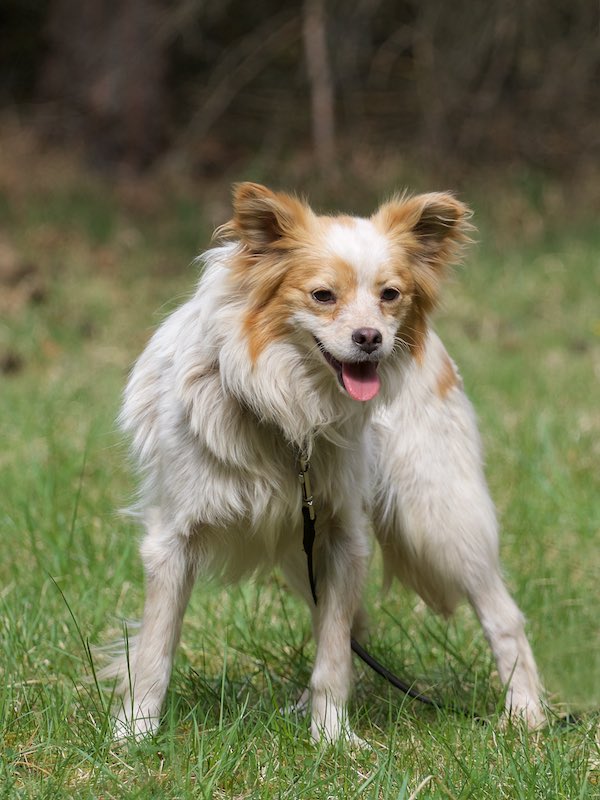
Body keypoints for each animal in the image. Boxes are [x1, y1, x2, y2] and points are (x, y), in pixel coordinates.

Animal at [105, 182, 543, 742]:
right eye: (322, 296)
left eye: (390, 295)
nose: (371, 339)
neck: (287, 408)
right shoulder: (173, 540)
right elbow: (154, 651)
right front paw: (134, 736)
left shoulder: (342, 537)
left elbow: (333, 655)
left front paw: (332, 739)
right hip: (306, 553)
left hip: (439, 522)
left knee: (504, 618)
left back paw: (526, 714)